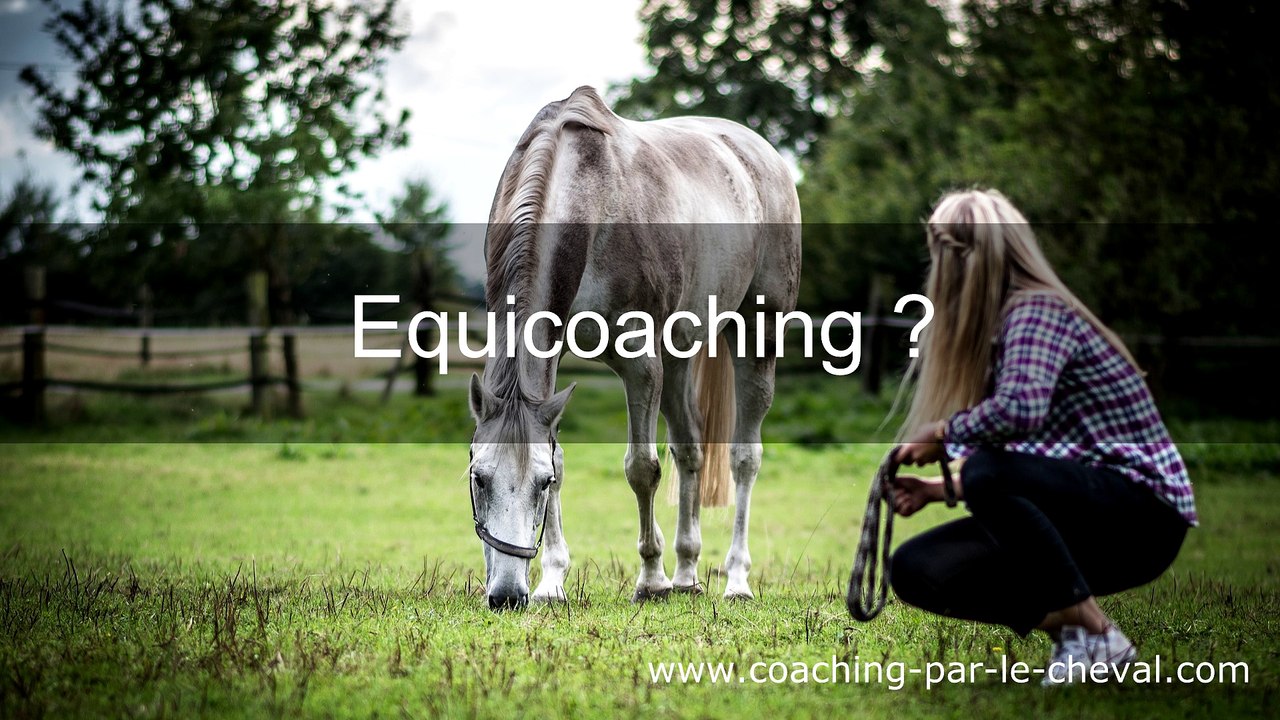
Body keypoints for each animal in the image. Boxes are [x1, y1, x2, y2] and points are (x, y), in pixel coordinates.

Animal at [468, 86, 801, 610]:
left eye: (538, 485)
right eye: (479, 478)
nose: (506, 595)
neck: (587, 198)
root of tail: (761, 154)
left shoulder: (641, 363)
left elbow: (642, 468)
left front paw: (650, 579)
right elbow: (564, 456)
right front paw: (552, 583)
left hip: (755, 334)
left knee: (743, 458)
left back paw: (735, 579)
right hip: (680, 352)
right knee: (690, 449)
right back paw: (687, 572)